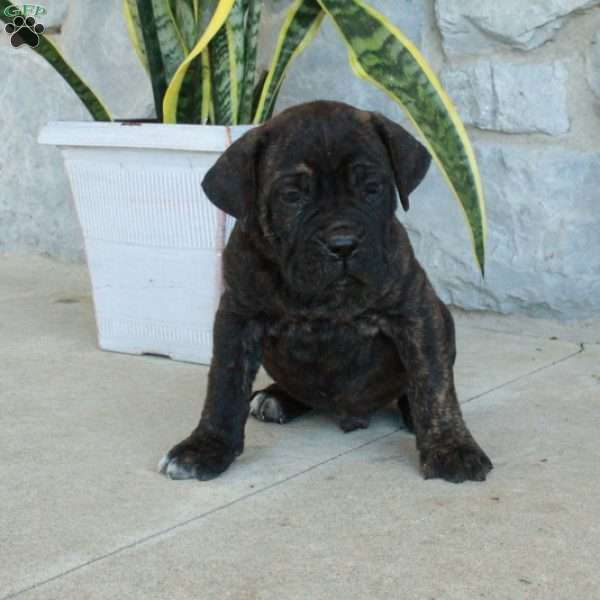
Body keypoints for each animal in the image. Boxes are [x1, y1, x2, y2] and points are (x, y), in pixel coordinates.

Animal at [159, 98, 492, 482]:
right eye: (291, 197)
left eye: (372, 188)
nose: (343, 244)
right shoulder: (237, 318)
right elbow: (224, 385)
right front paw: (205, 447)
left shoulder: (416, 311)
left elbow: (434, 381)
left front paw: (451, 445)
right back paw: (276, 398)